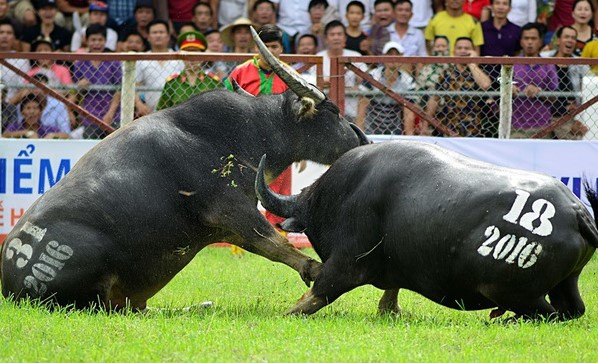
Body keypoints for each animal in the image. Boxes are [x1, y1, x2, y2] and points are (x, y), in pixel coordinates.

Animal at [0, 27, 370, 310]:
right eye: (334, 111)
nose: (360, 139)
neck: (249, 130)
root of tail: (13, 279)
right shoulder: (229, 209)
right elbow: (273, 242)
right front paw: (315, 269)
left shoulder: (227, 226)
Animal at [258, 141, 598, 322]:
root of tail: (576, 211)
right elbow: (389, 297)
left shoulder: (346, 264)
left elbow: (312, 297)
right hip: (566, 283)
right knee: (571, 310)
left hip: (508, 291)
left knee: (548, 313)